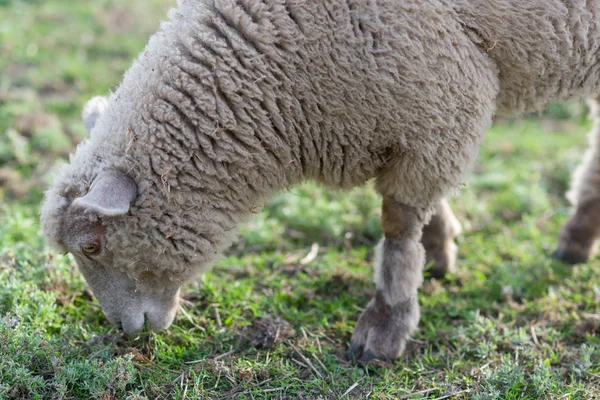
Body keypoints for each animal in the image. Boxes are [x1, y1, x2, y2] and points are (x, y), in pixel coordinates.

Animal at [41, 0, 600, 366]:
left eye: (92, 245)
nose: (122, 331)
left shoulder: (438, 98)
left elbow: (397, 227)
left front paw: (385, 328)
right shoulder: (420, 118)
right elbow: (419, 211)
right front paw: (440, 250)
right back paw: (577, 236)